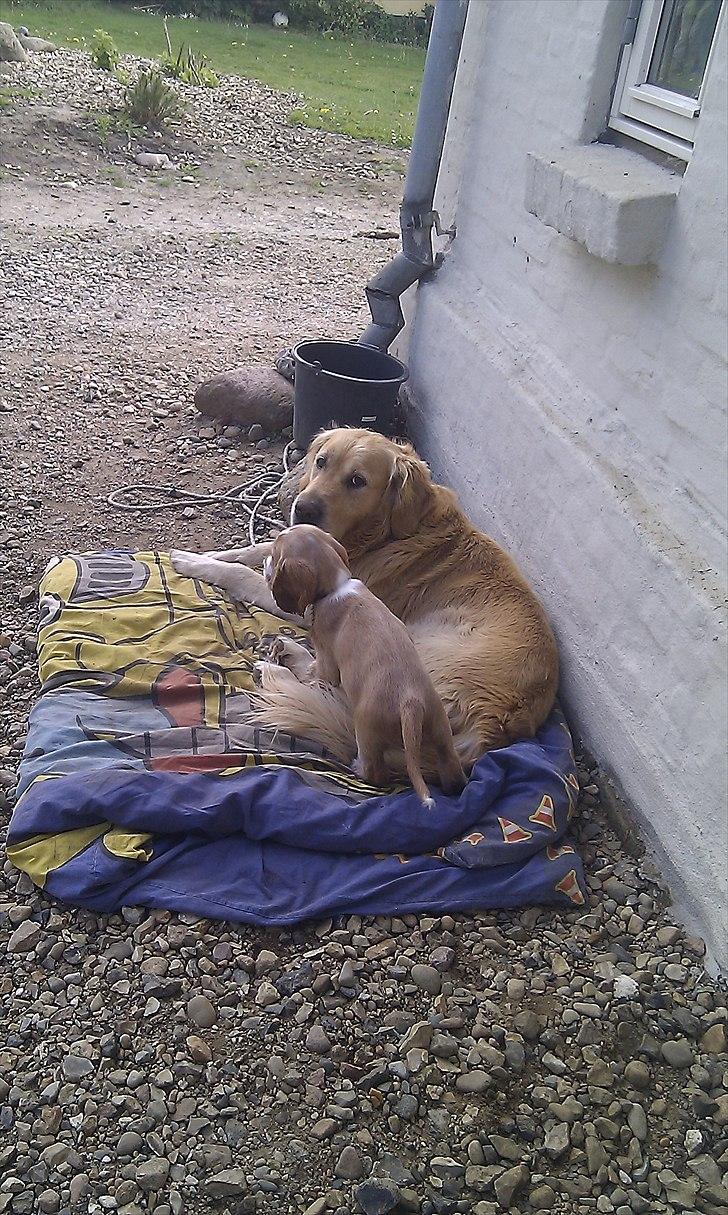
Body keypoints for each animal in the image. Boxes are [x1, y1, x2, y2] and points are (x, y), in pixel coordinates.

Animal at [267, 524, 466, 801]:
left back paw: (357, 768)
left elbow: (310, 667)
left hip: (366, 732)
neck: (338, 586)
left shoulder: (326, 662)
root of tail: (411, 704)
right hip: (441, 732)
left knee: (376, 773)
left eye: (274, 555)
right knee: (452, 770)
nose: (265, 559)